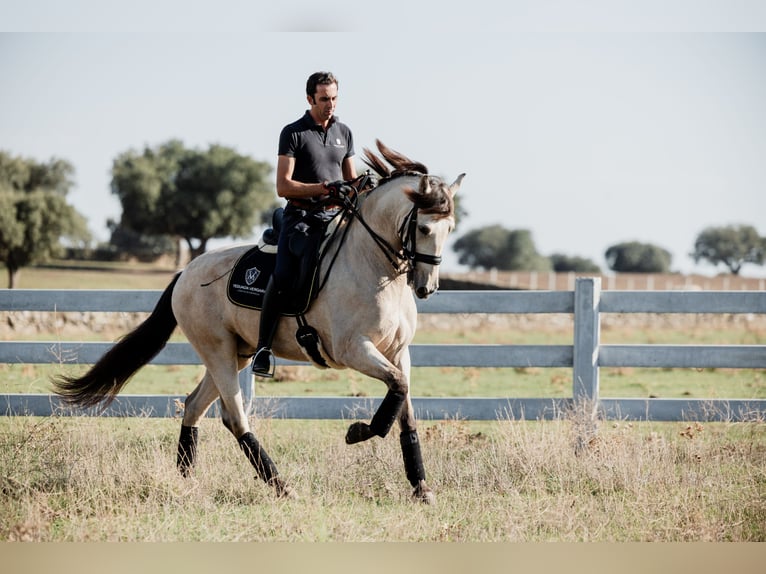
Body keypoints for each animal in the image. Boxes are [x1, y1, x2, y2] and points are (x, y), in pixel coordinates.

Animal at [54, 143, 464, 504]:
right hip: (218, 351)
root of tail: (187, 271)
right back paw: (281, 486)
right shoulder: (353, 350)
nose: (426, 287)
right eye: (424, 229)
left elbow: (403, 407)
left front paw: (421, 487)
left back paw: (187, 478)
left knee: (194, 406)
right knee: (236, 418)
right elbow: (396, 390)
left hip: (236, 353)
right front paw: (359, 432)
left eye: (450, 229)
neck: (373, 265)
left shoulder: (398, 352)